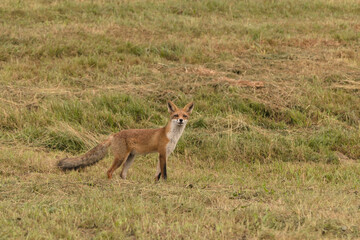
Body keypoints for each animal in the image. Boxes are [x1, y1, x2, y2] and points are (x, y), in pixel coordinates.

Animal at [57, 100, 194, 181]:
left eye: (184, 116)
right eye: (176, 115)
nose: (181, 120)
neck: (171, 136)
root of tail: (114, 135)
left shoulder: (165, 154)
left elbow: (158, 173)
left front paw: (156, 183)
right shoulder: (162, 153)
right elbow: (164, 172)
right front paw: (165, 183)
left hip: (130, 158)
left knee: (122, 174)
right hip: (121, 158)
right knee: (109, 171)